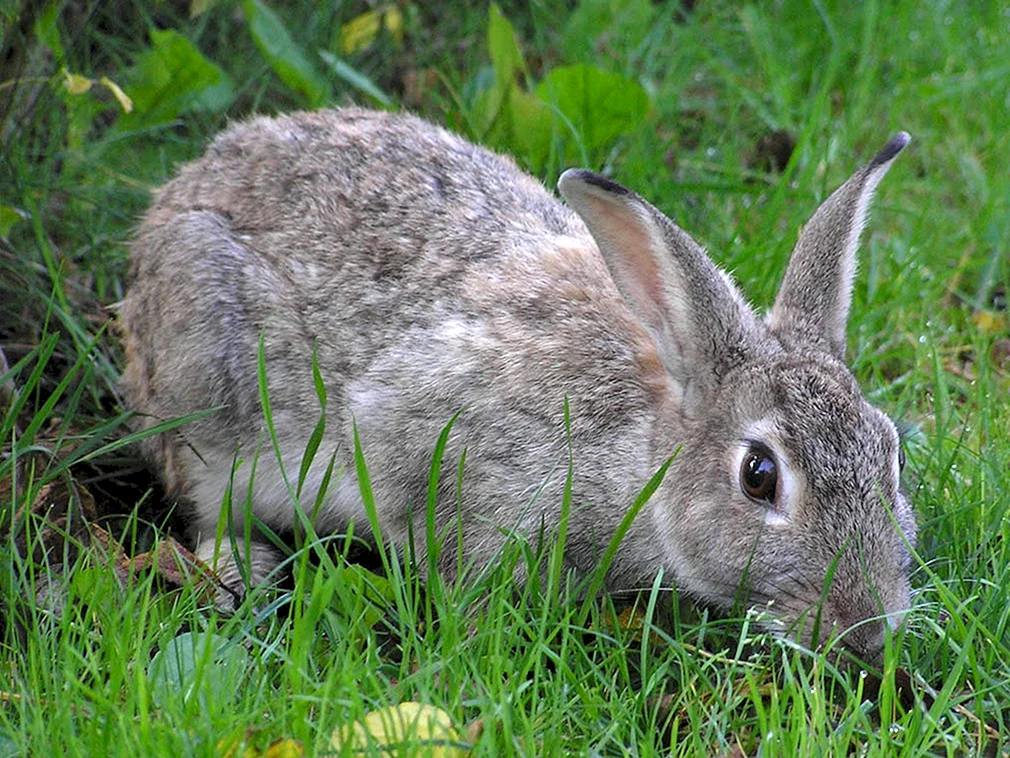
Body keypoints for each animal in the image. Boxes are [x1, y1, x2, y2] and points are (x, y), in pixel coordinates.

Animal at [118, 107, 917, 658]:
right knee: (206, 502)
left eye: (891, 454)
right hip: (204, 388)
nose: (867, 630)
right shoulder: (431, 450)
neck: (638, 450)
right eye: (758, 476)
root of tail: (175, 197)